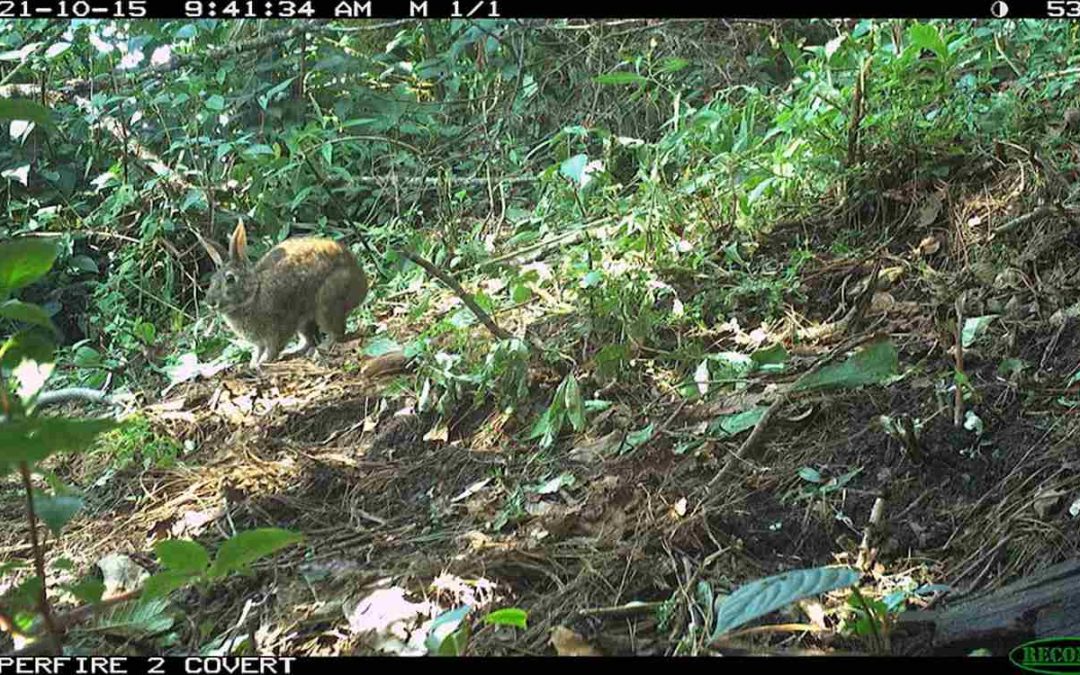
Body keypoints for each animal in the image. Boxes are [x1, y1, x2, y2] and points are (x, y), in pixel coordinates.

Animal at [202, 221, 368, 369]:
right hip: (305, 321)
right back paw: (294, 351)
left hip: (327, 301)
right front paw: (253, 363)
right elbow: (258, 351)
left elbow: (272, 348)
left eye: (230, 279)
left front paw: (262, 362)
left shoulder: (277, 329)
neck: (254, 293)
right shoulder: (260, 342)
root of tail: (361, 285)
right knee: (309, 339)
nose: (210, 302)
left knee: (336, 332)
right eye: (212, 280)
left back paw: (322, 347)